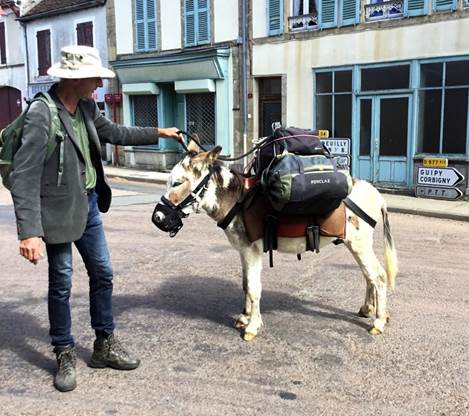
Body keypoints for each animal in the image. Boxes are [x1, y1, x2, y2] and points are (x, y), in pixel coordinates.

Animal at [155, 140, 398, 341]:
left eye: (177, 183)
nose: (157, 218)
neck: (237, 200)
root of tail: (376, 194)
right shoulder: (243, 250)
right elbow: (245, 284)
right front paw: (244, 317)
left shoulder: (251, 250)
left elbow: (254, 288)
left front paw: (252, 327)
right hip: (356, 245)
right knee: (368, 276)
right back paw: (368, 309)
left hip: (359, 244)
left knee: (378, 275)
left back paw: (378, 321)